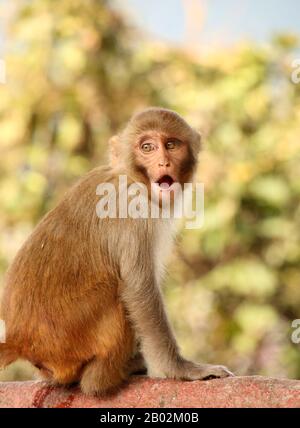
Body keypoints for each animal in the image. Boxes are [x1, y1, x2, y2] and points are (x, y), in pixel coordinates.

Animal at [0, 107, 233, 394]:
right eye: (147, 147)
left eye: (171, 145)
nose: (163, 163)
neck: (132, 178)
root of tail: (19, 339)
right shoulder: (134, 212)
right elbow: (139, 287)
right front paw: (181, 369)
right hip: (69, 339)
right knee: (117, 290)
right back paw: (104, 378)